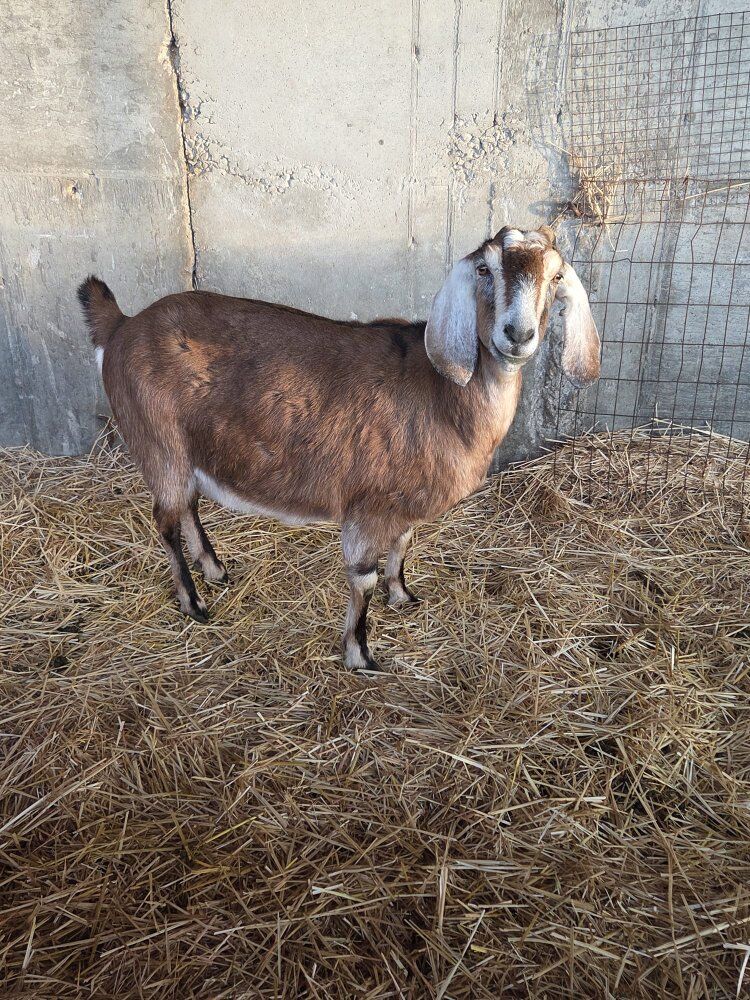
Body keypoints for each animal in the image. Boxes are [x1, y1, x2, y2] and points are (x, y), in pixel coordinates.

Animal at [77, 225, 599, 670]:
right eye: (485, 270)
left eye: (556, 275)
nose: (517, 334)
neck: (443, 396)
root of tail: (121, 326)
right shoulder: (368, 506)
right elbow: (362, 577)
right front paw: (360, 653)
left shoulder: (402, 505)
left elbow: (403, 544)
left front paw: (402, 595)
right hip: (159, 444)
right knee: (166, 519)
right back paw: (193, 601)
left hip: (184, 454)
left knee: (186, 506)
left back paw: (215, 569)